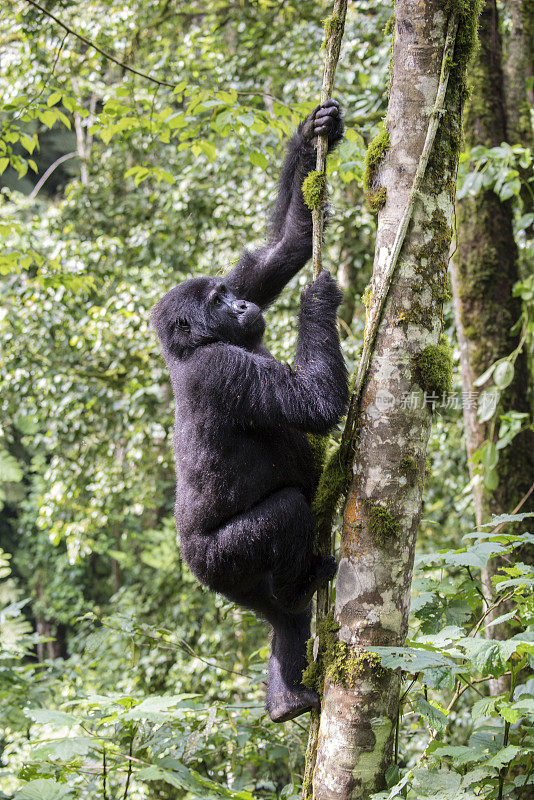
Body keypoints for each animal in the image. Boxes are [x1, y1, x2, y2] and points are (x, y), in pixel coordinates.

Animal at [153, 98, 350, 720]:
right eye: (217, 304)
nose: (239, 305)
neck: (192, 345)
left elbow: (283, 252)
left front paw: (316, 132)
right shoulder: (222, 370)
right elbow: (317, 404)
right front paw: (317, 300)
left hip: (234, 587)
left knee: (278, 615)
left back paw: (286, 689)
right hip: (222, 563)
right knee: (285, 513)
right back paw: (296, 590)